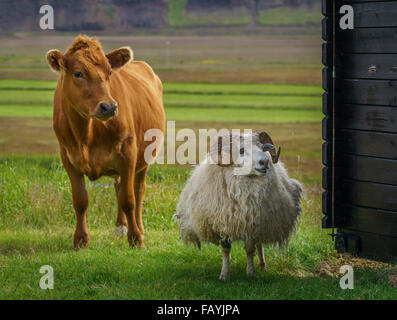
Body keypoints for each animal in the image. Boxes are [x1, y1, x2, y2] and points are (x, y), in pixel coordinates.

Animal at [45, 35, 165, 250]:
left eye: (109, 73)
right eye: (78, 73)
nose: (109, 107)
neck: (86, 135)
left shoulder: (128, 153)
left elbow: (128, 199)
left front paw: (136, 239)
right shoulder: (68, 157)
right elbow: (80, 200)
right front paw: (80, 240)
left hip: (144, 158)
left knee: (138, 190)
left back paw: (138, 227)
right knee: (119, 187)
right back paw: (120, 227)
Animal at [173, 130, 300, 280]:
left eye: (262, 147)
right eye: (241, 150)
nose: (265, 161)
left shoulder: (251, 224)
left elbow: (250, 249)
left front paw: (250, 273)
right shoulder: (222, 225)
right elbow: (225, 250)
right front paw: (224, 274)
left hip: (263, 222)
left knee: (259, 244)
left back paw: (262, 265)